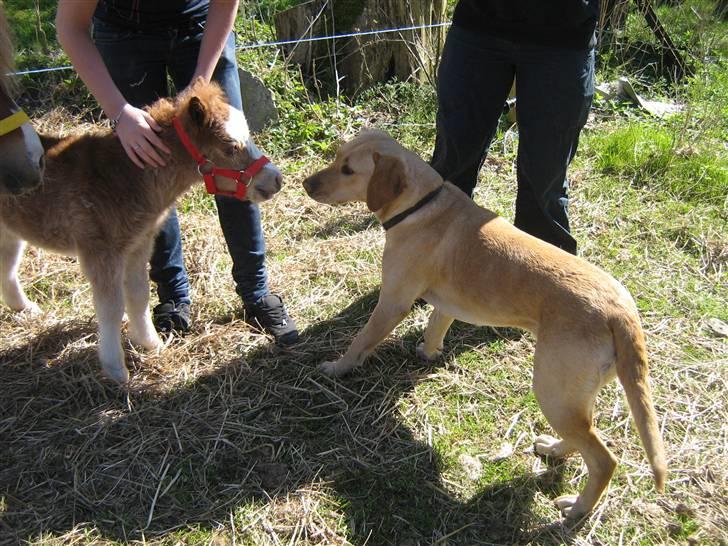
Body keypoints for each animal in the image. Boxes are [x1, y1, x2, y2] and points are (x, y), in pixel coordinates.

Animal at [0, 79, 282, 382]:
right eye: (230, 146)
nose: (276, 179)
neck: (125, 178)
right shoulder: (101, 252)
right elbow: (111, 309)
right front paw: (116, 370)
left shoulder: (139, 244)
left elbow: (139, 296)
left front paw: (151, 344)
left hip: (9, 233)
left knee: (7, 269)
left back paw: (26, 309)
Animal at [302, 130, 664, 516]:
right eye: (336, 156)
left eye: (348, 170)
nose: (306, 184)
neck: (422, 206)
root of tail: (622, 311)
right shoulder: (447, 304)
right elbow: (435, 327)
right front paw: (428, 353)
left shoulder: (392, 303)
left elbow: (360, 342)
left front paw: (337, 368)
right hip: (573, 396)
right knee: (586, 436)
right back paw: (554, 450)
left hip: (553, 391)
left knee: (604, 460)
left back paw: (577, 509)